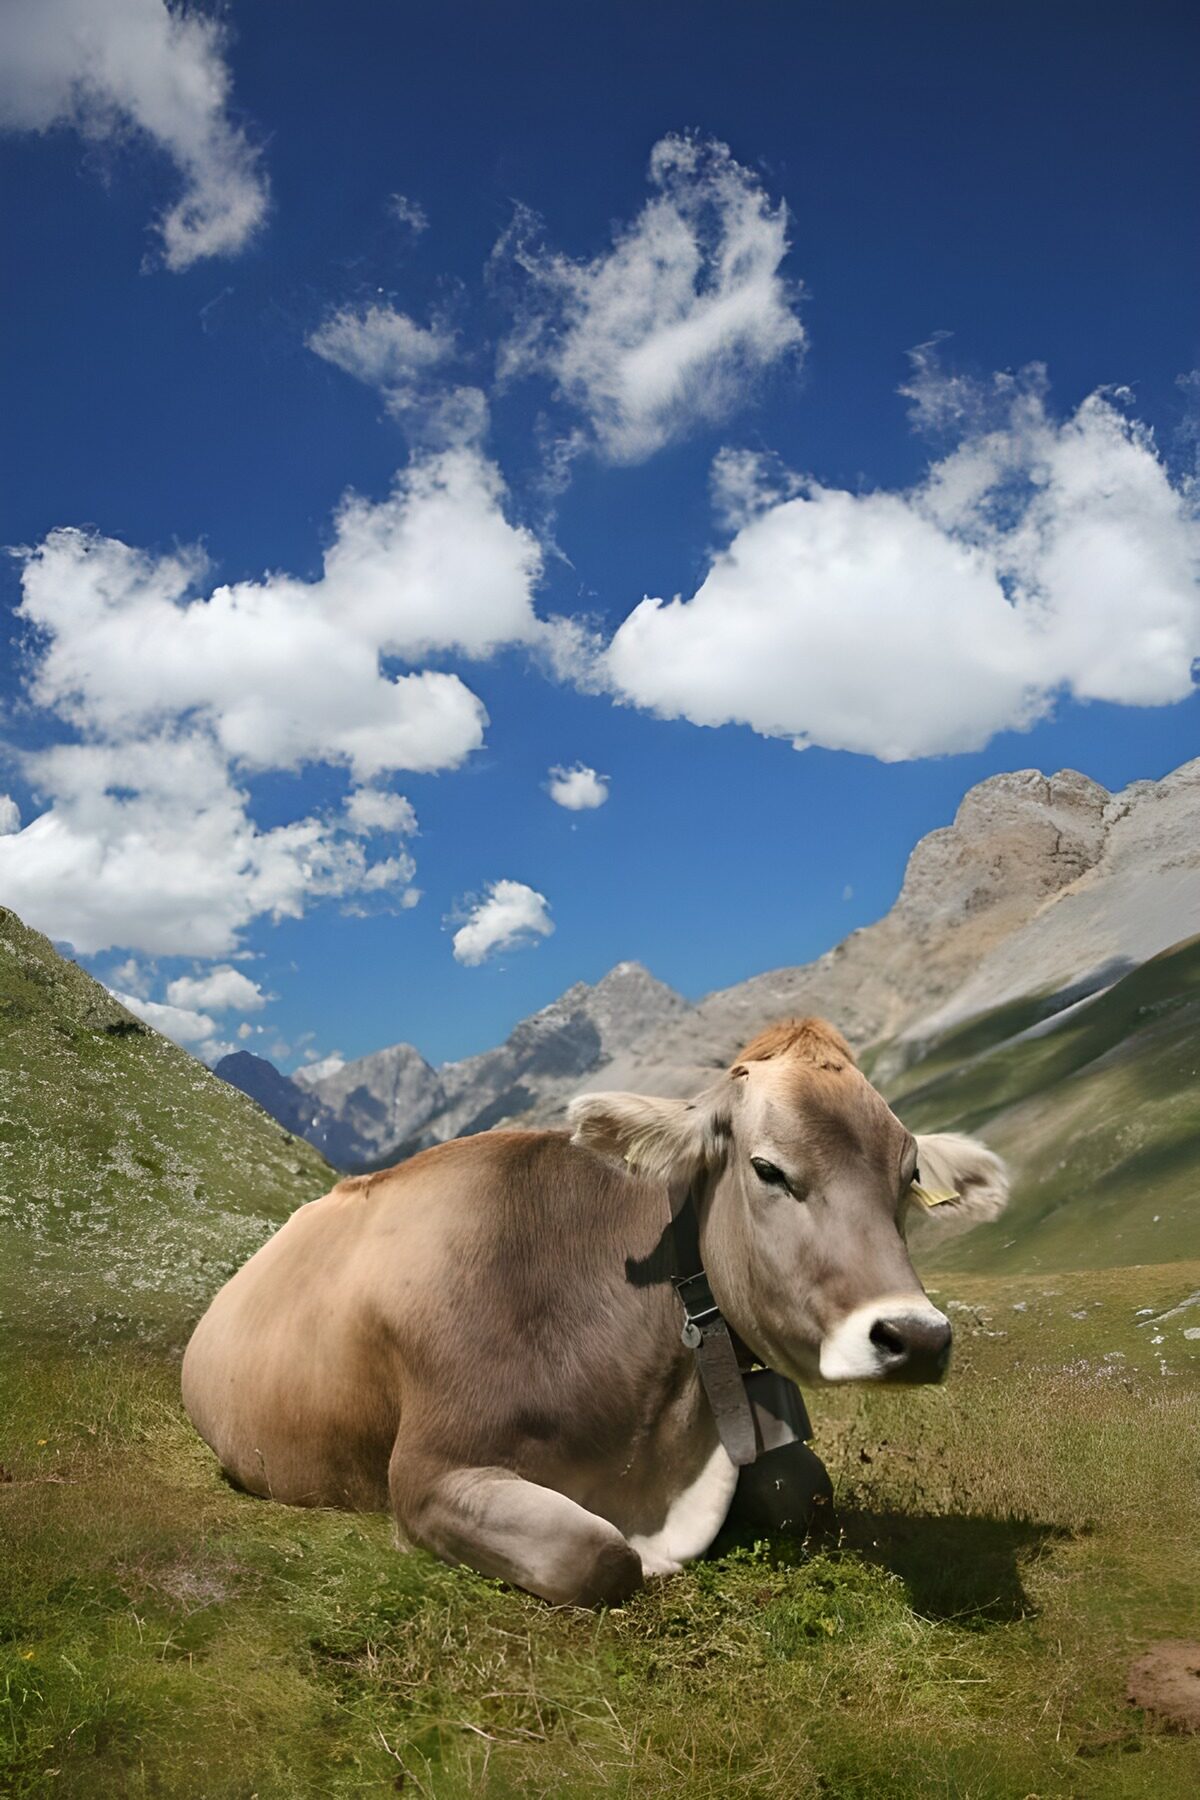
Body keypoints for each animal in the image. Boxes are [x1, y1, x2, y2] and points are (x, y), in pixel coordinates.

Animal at [182, 1018, 1007, 1606]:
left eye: (908, 1177)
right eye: (768, 1169)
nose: (916, 1338)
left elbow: (805, 1490)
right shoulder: (427, 1475)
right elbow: (601, 1556)